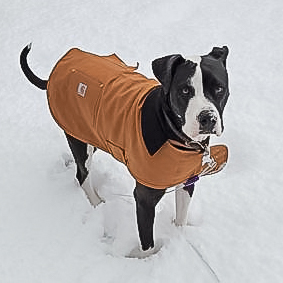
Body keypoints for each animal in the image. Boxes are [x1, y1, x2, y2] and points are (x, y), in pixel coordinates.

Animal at [20, 44, 230, 253]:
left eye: (219, 88)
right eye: (185, 90)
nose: (207, 118)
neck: (172, 133)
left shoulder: (187, 181)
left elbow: (181, 218)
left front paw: (178, 237)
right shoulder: (144, 199)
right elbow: (148, 244)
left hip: (90, 136)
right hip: (78, 137)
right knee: (82, 175)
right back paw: (97, 204)